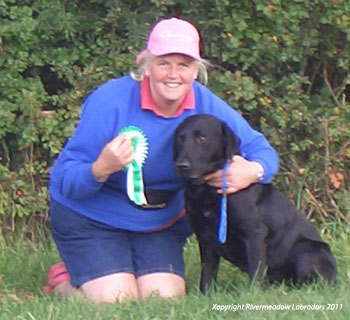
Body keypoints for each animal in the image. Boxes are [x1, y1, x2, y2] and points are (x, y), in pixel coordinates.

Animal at [174, 114, 336, 292]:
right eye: (180, 138)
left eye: (201, 138)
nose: (181, 165)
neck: (206, 190)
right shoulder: (205, 237)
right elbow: (207, 273)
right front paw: (206, 294)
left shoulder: (254, 233)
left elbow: (256, 270)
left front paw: (252, 294)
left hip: (306, 249)